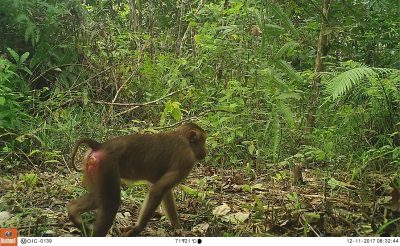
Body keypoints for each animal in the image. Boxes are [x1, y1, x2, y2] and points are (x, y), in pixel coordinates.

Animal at [67, 123, 206, 236]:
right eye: (203, 141)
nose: (205, 152)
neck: (183, 138)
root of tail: (101, 146)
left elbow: (165, 192)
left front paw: (177, 228)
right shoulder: (187, 159)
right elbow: (157, 190)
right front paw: (137, 228)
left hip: (94, 168)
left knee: (99, 198)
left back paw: (74, 212)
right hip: (106, 166)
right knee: (111, 202)